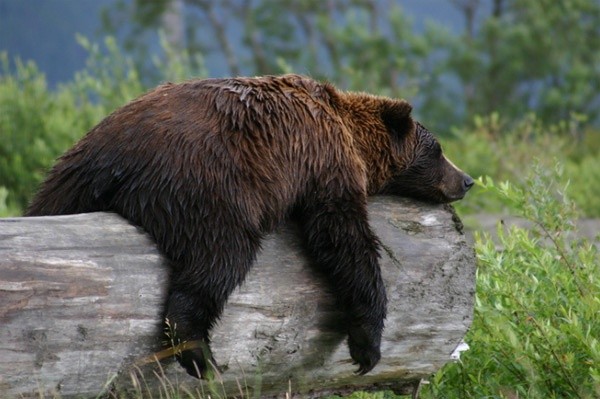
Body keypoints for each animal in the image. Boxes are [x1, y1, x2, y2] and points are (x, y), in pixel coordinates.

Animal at [25, 74, 474, 378]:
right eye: (438, 150)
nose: (467, 180)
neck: (349, 133)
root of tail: (113, 158)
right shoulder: (325, 162)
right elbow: (342, 238)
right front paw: (367, 346)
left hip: (66, 181)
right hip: (206, 185)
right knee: (220, 257)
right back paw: (200, 354)